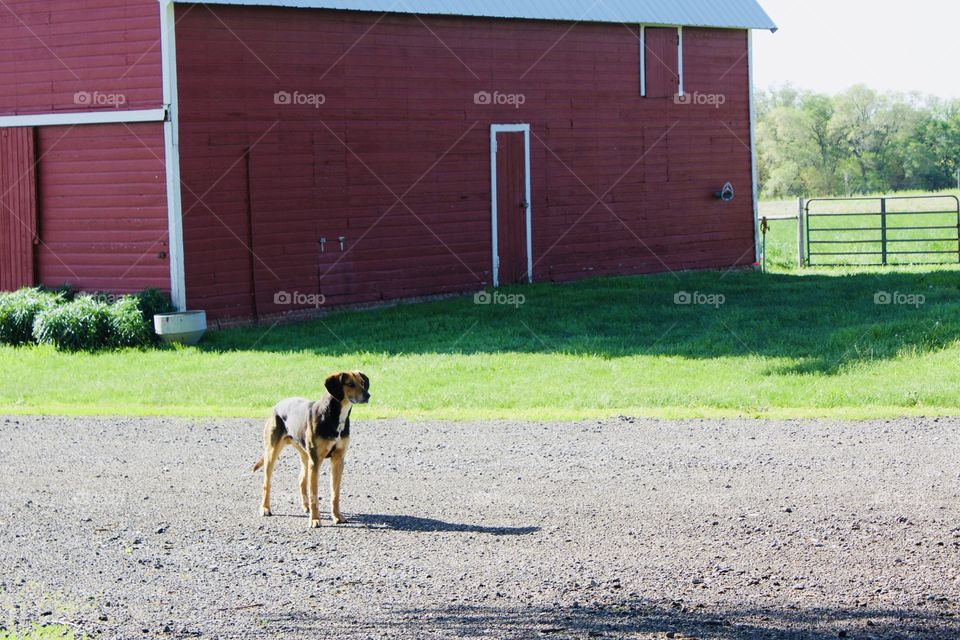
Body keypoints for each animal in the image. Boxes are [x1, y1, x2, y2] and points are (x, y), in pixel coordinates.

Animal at [251, 370, 372, 528]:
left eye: (363, 383)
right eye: (350, 384)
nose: (368, 395)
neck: (334, 416)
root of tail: (277, 405)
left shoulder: (338, 460)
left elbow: (335, 494)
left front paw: (337, 516)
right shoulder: (316, 461)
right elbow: (314, 493)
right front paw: (315, 520)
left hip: (305, 456)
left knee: (301, 480)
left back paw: (305, 506)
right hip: (272, 453)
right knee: (267, 483)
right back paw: (265, 508)